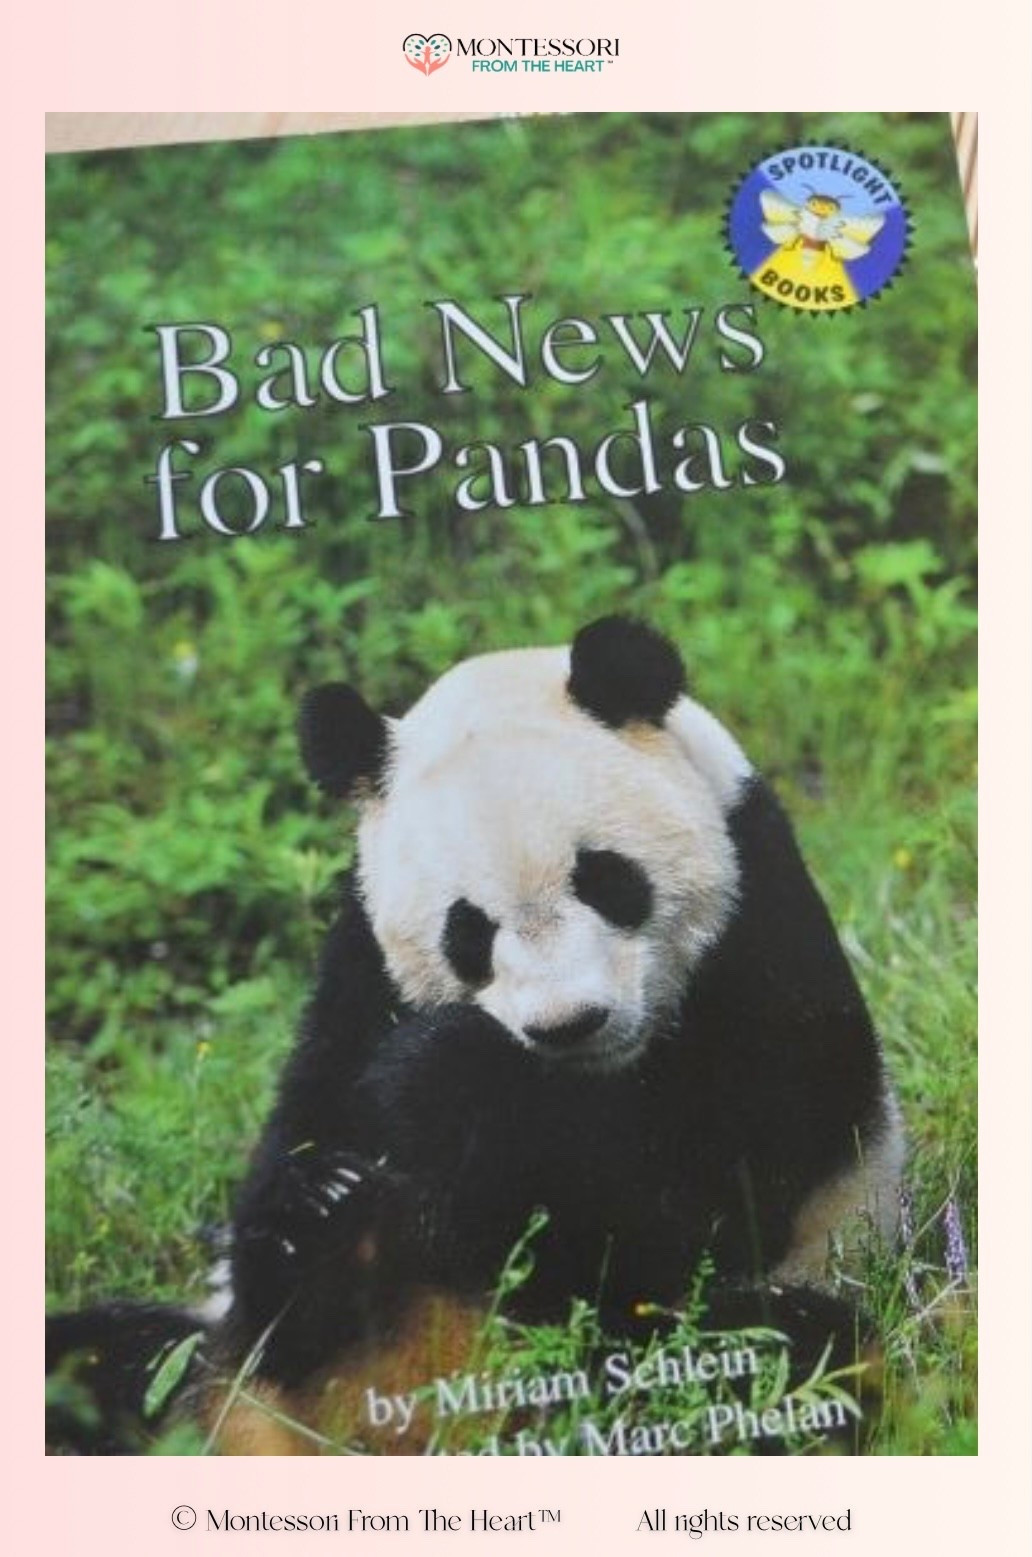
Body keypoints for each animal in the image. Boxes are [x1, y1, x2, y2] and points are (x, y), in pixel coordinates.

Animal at [46, 616, 903, 1455]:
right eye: (468, 931)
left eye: (606, 879)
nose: (569, 1024)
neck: (584, 1083)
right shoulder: (361, 970)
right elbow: (302, 1143)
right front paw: (316, 1205)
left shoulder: (762, 930)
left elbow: (711, 1197)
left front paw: (444, 1074)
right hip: (210, 1374)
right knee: (99, 1357)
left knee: (775, 1352)